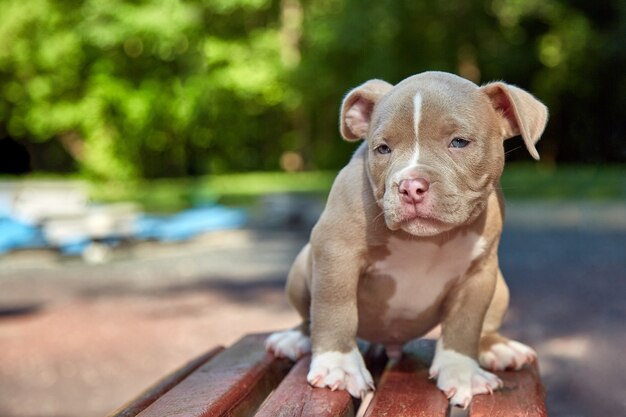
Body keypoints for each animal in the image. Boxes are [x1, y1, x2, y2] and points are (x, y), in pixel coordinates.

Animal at [264, 70, 544, 406]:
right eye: (383, 149)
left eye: (459, 142)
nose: (410, 186)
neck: (425, 241)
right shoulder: (336, 251)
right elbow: (334, 307)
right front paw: (339, 366)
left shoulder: (479, 273)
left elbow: (466, 324)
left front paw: (461, 371)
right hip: (300, 267)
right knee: (309, 315)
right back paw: (295, 338)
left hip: (500, 286)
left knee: (485, 326)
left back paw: (497, 347)